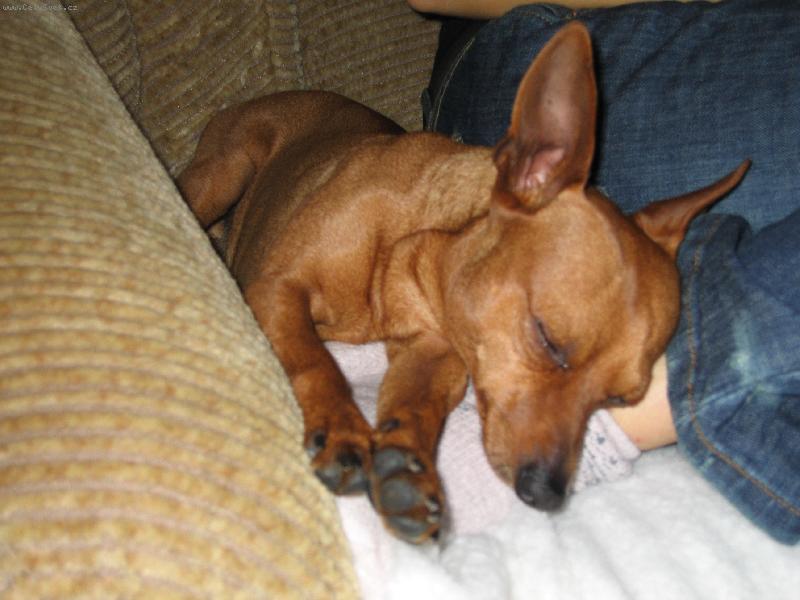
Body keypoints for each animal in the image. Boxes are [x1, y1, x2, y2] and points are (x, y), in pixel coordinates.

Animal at [178, 21, 748, 543]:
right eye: (547, 340)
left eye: (620, 401)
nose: (547, 494)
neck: (405, 256)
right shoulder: (278, 287)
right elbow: (316, 362)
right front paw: (342, 429)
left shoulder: (431, 352)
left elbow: (416, 406)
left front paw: (408, 465)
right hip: (225, 172)